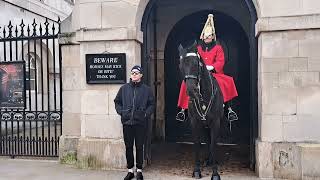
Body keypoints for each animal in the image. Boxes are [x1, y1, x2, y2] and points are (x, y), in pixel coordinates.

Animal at [176, 42, 224, 180]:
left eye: (196, 63)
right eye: (181, 64)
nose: (191, 91)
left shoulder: (215, 122)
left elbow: (213, 144)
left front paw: (215, 173)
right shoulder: (195, 122)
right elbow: (197, 144)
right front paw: (197, 170)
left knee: (212, 141)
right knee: (207, 140)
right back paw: (208, 160)